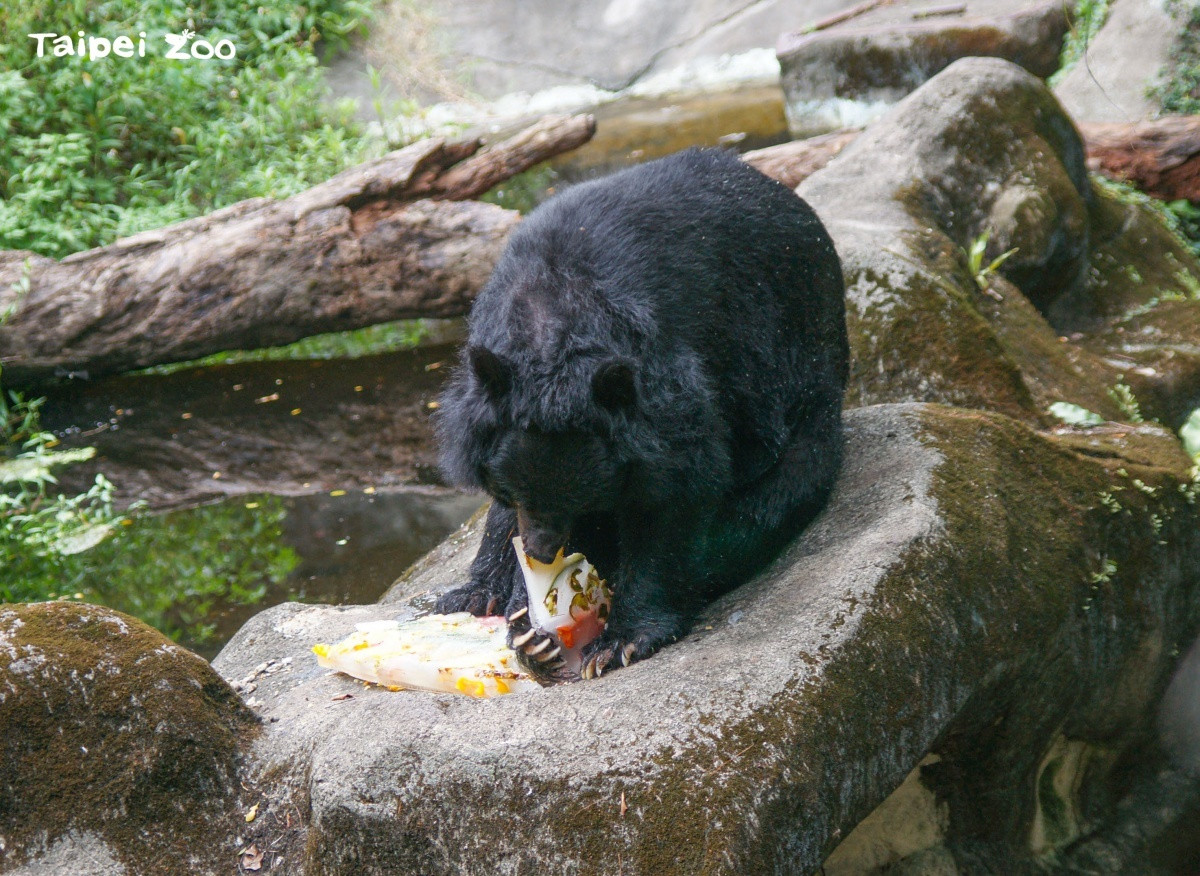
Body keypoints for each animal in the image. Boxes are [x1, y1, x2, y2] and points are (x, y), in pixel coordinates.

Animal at [436, 145, 849, 676]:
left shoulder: (670, 388)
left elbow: (673, 496)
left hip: (803, 383)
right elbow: (501, 513)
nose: (542, 551)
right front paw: (526, 625)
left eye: (581, 499)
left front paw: (619, 639)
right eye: (513, 490)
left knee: (770, 499)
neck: (552, 320)